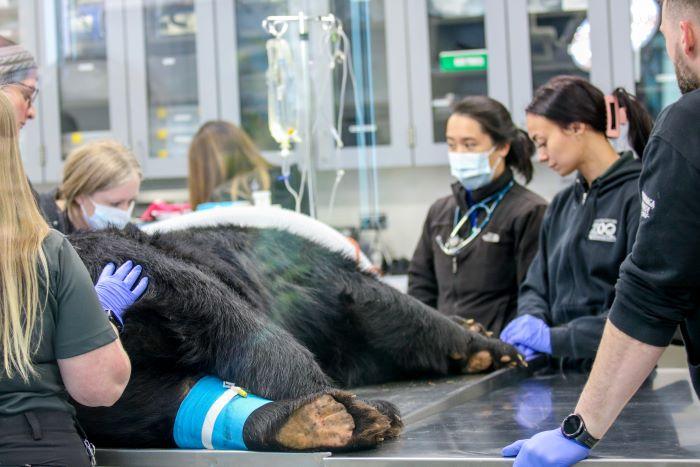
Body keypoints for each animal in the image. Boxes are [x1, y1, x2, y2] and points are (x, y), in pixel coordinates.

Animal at [68, 224, 523, 452]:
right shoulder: (325, 279)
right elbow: (391, 307)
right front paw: (491, 346)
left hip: (109, 387)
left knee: (164, 401)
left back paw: (304, 421)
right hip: (142, 268)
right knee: (240, 325)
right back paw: (351, 411)